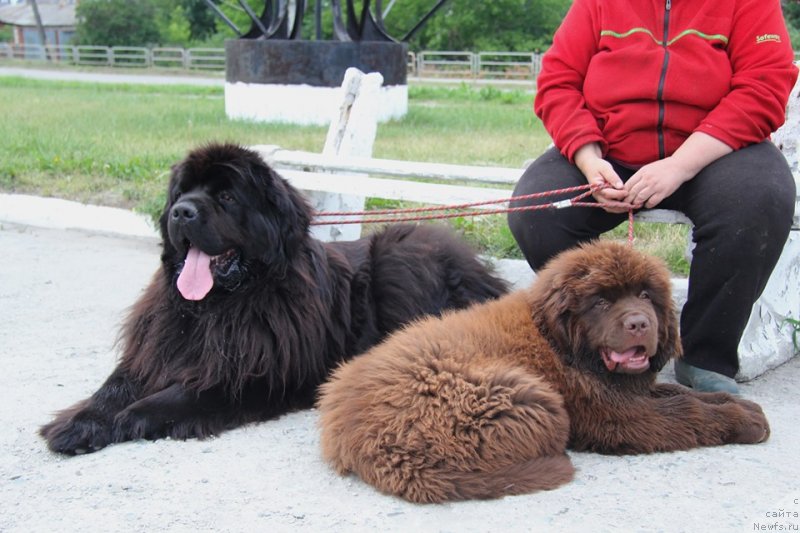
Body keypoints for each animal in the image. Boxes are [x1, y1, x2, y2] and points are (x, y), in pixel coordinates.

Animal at [39, 143, 506, 456]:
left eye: (226, 197)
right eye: (180, 193)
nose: (181, 212)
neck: (219, 306)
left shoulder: (257, 375)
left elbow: (183, 393)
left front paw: (133, 417)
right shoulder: (156, 349)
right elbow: (115, 385)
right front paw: (79, 423)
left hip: (400, 252)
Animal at [318, 241, 768, 502]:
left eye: (645, 295)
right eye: (601, 302)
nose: (640, 323)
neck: (560, 341)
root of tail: (352, 435)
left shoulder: (626, 392)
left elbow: (682, 395)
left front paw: (736, 404)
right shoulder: (617, 415)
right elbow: (684, 413)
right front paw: (743, 420)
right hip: (531, 399)